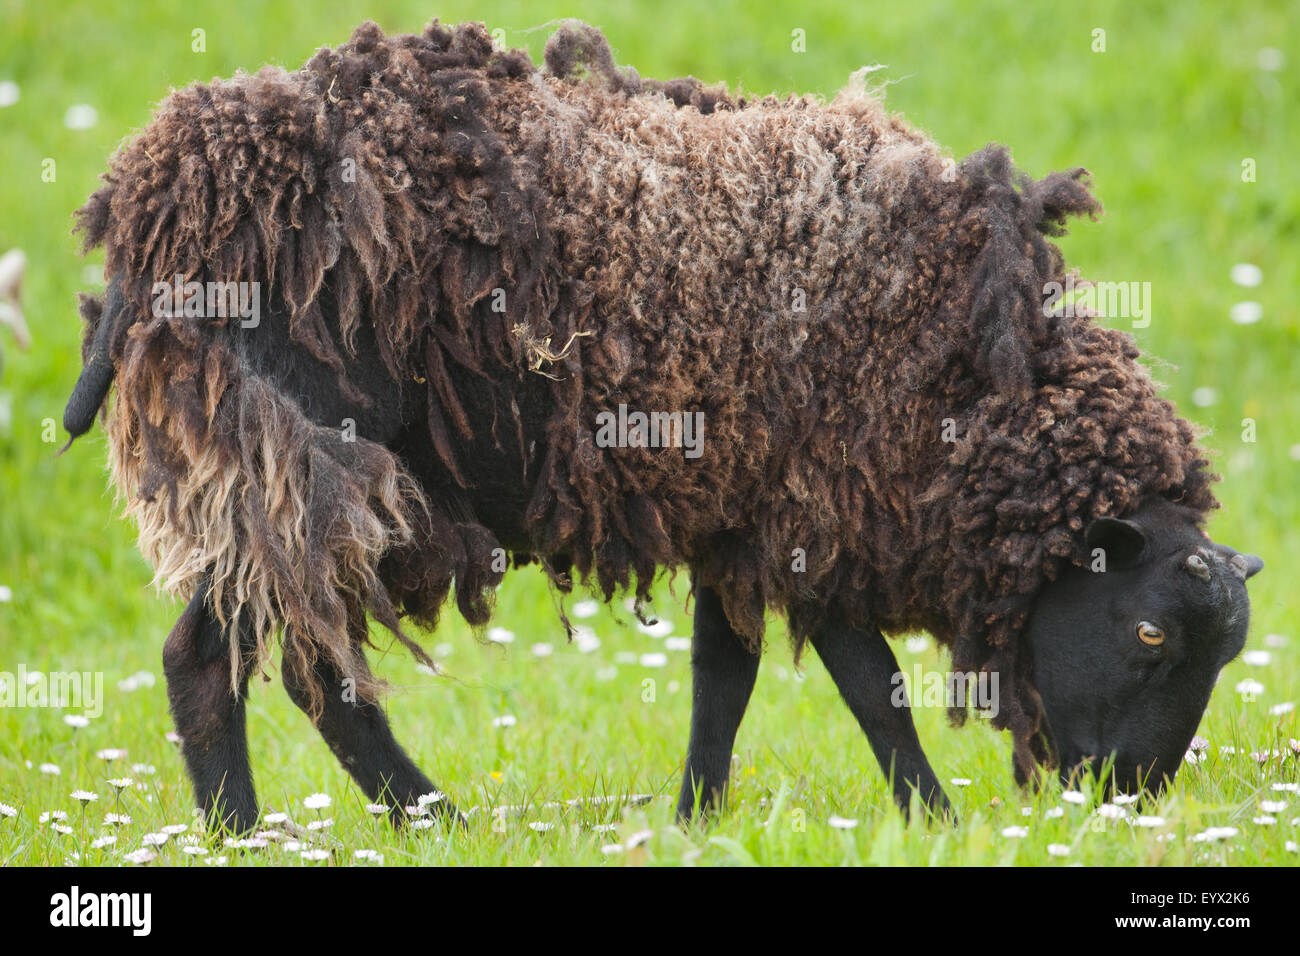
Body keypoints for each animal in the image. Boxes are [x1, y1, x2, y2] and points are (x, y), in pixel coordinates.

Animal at [65, 18, 1263, 832]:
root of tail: (155, 195)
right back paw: (329, 827)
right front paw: (934, 817)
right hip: (293, 454)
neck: (965, 374)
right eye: (1150, 634)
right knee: (229, 658)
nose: (1121, 799)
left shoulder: (740, 512)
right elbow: (869, 681)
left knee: (285, 660)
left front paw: (696, 817)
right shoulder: (811, 506)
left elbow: (722, 678)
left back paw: (364, 824)